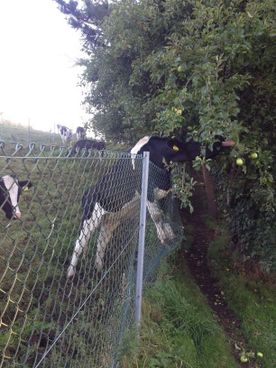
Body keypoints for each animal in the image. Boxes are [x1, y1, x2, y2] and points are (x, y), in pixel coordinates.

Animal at [67, 134, 235, 278]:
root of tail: (87, 192)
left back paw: (99, 268)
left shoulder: (165, 191)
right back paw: (70, 272)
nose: (220, 139)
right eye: (194, 143)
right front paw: (164, 238)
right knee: (80, 243)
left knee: (102, 241)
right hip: (90, 217)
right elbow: (157, 215)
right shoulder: (147, 190)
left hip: (112, 219)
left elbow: (165, 214)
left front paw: (171, 234)